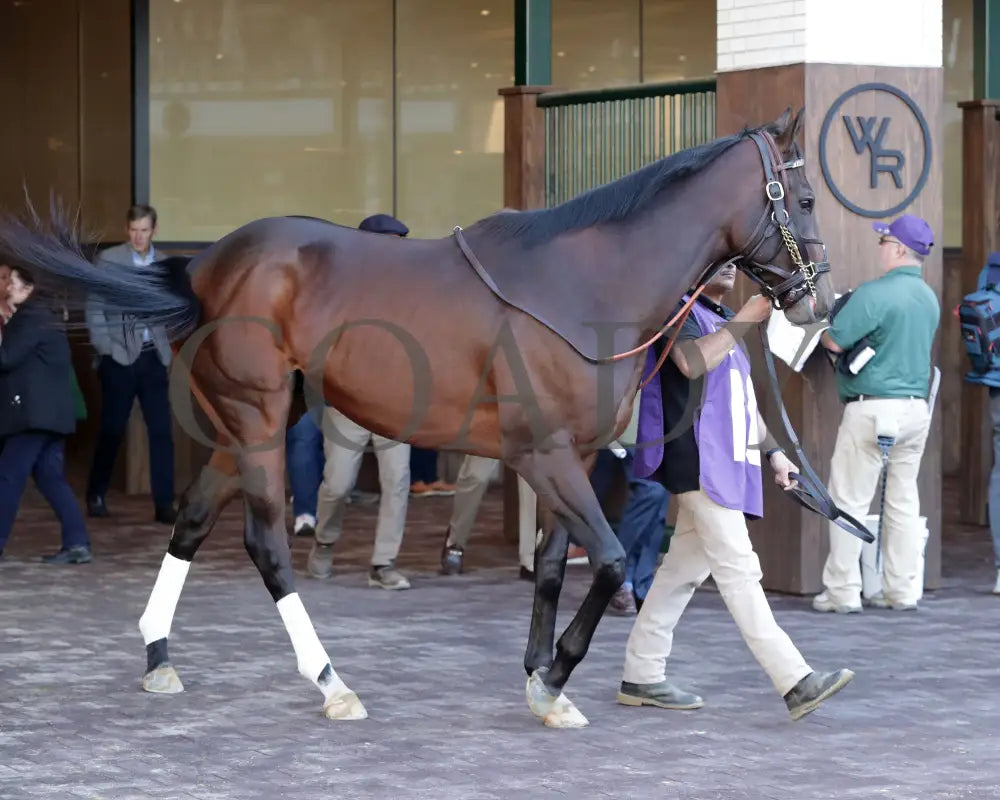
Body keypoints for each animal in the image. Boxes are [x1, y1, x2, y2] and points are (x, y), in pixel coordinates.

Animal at [0, 104, 836, 724]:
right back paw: (331, 682)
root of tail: (204, 266)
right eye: (802, 198)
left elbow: (552, 570)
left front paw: (540, 681)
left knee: (191, 523)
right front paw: (555, 677)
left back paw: (159, 657)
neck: (581, 282)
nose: (819, 300)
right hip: (258, 420)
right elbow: (600, 562)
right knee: (265, 544)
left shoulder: (566, 457)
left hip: (240, 427)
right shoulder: (544, 455)